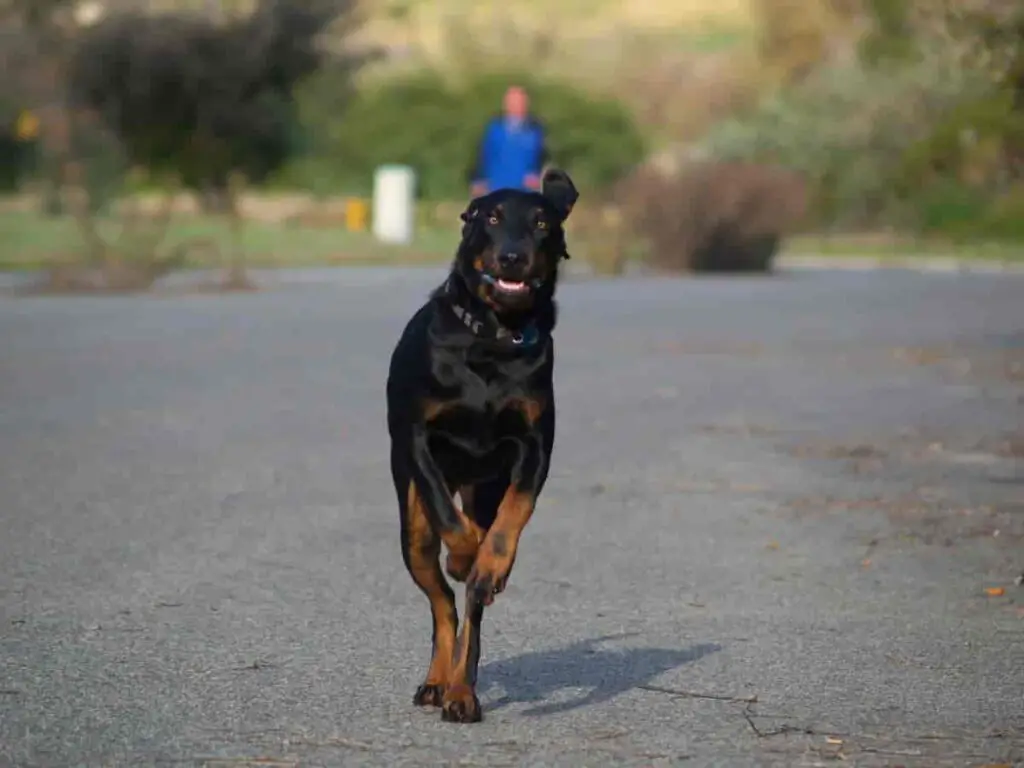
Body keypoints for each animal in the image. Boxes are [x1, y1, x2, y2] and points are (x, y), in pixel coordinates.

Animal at [385, 169, 577, 729]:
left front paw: (491, 562)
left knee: (468, 609)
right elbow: (449, 518)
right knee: (443, 602)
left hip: (483, 487)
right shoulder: (418, 439)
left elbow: (514, 515)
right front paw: (465, 553)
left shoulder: (535, 444)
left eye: (542, 223)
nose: (512, 256)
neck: (494, 338)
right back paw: (437, 680)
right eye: (489, 217)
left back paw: (460, 691)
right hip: (411, 528)